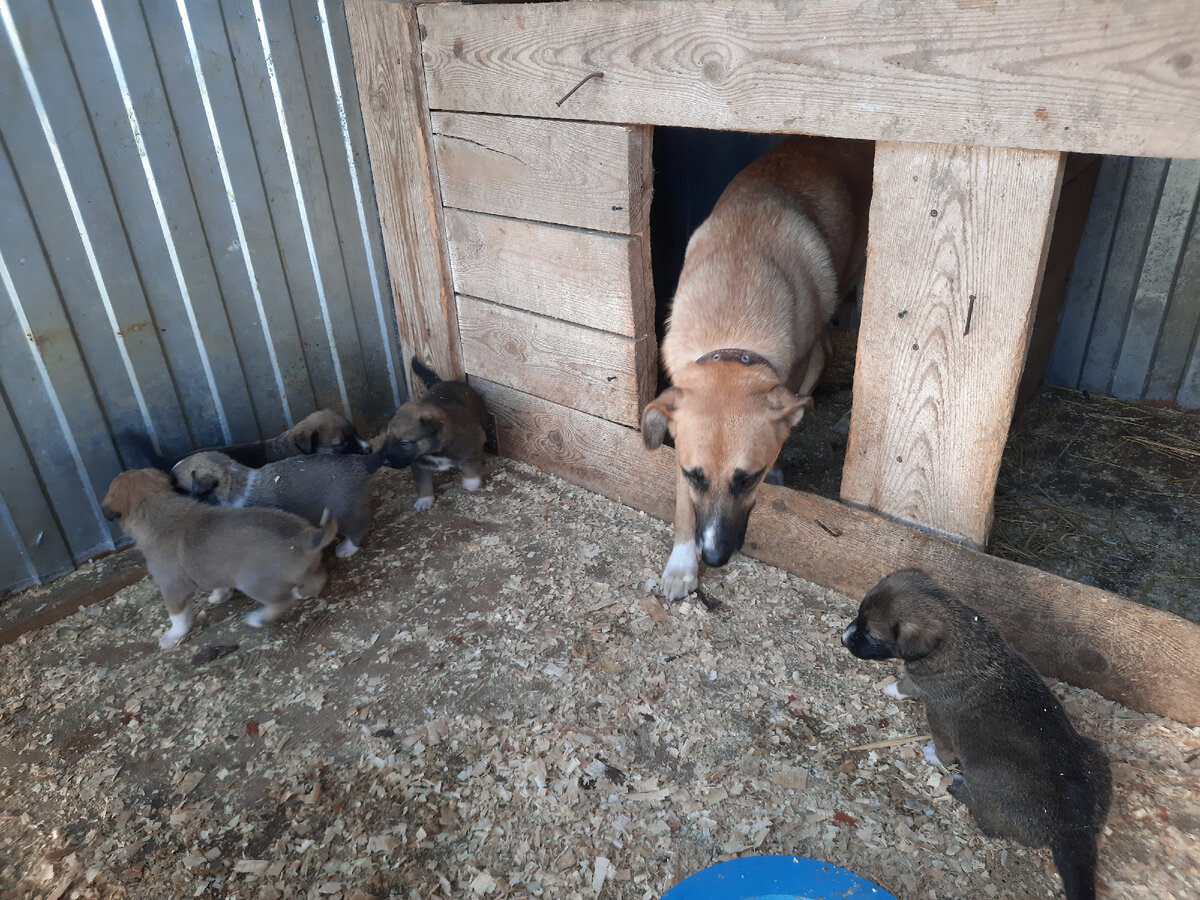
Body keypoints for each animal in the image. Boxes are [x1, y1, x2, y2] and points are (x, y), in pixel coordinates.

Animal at [99, 468, 338, 652]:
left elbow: (178, 616)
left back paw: (258, 619)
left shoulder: (172, 587)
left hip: (252, 582)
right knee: (318, 580)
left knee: (281, 601)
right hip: (308, 569)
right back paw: (302, 592)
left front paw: (172, 636)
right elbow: (220, 584)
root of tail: (306, 538)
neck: (158, 509)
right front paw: (218, 596)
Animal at [169, 448, 381, 556]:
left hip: (346, 511)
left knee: (359, 528)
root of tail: (361, 462)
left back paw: (347, 548)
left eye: (179, 487)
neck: (235, 482)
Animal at [376, 360, 484, 513]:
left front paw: (471, 482)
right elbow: (423, 483)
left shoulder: (473, 444)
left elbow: (471, 464)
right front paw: (424, 500)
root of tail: (443, 382)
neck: (436, 451)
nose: (385, 462)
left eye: (404, 443)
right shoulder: (419, 464)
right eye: (388, 438)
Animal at [840, 571, 1108, 900]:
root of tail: (1071, 827)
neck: (961, 634)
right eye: (859, 617)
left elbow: (935, 732)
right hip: (1094, 753)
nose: (843, 638)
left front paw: (929, 749)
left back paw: (958, 787)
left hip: (983, 776)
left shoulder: (937, 711)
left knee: (987, 820)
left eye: (872, 635)